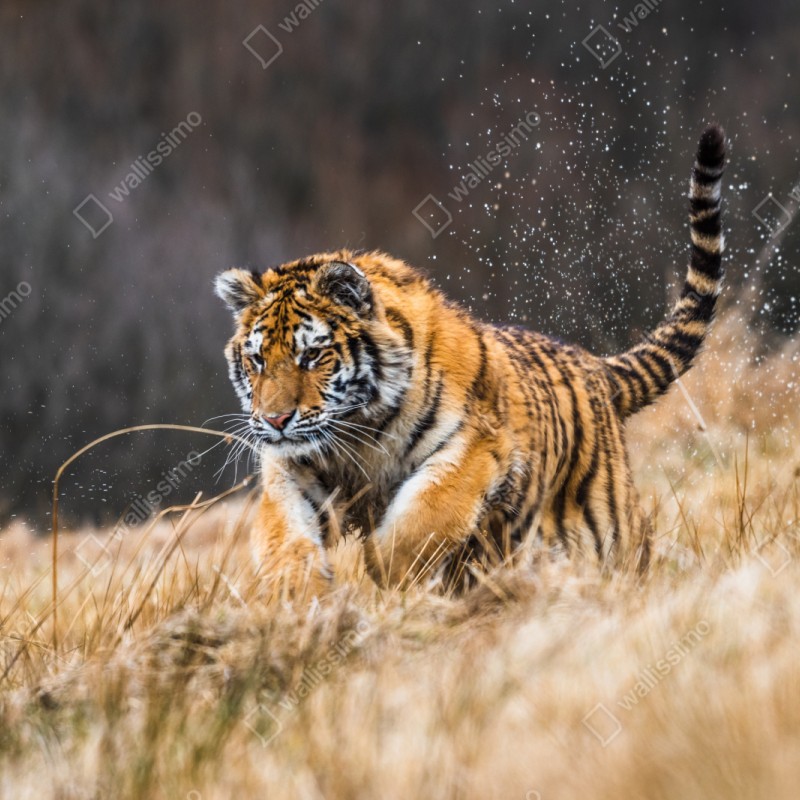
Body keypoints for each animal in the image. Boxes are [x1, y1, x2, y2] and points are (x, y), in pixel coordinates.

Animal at [214, 124, 726, 599]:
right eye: (257, 360)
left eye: (313, 355)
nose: (275, 420)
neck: (358, 433)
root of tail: (596, 367)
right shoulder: (291, 467)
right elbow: (283, 533)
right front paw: (298, 596)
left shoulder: (475, 447)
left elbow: (424, 518)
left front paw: (385, 574)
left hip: (608, 527)